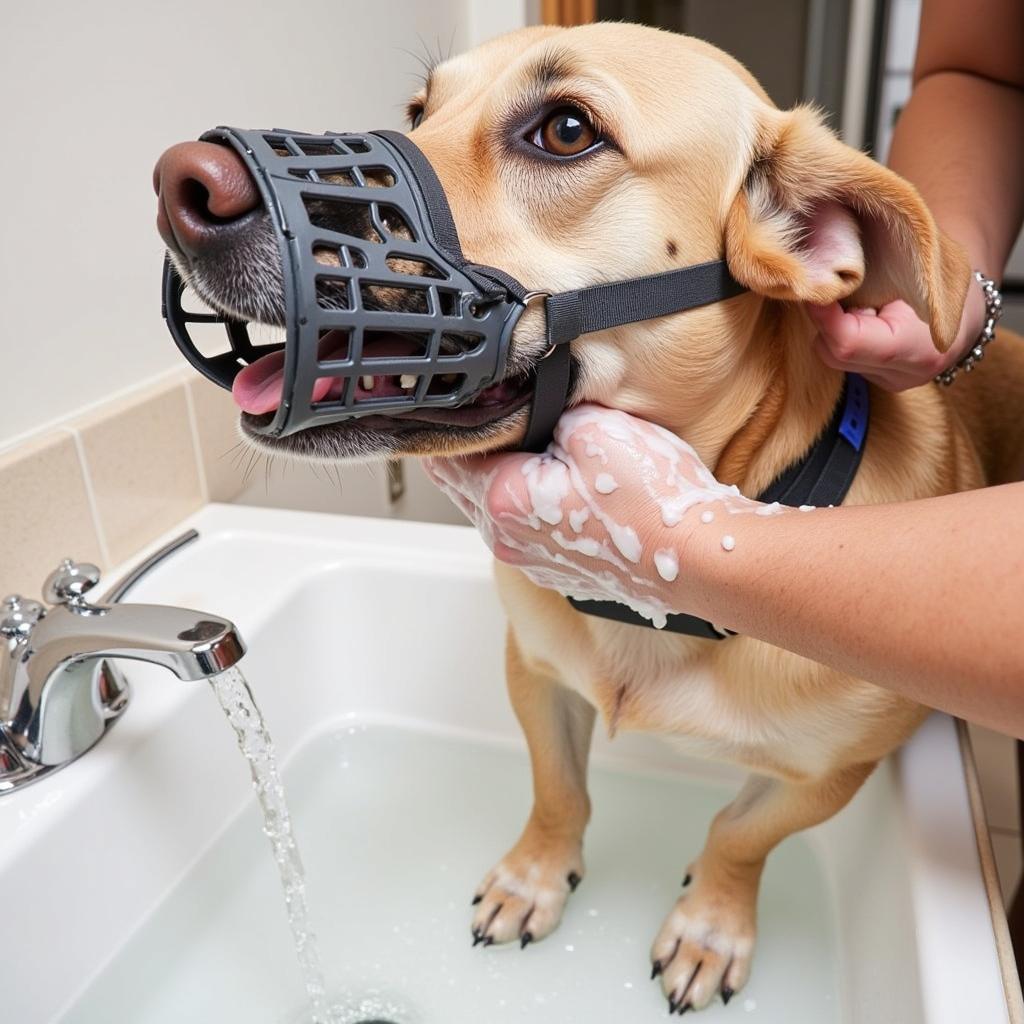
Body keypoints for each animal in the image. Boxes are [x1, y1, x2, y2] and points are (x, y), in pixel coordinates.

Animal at [153, 19, 1024, 1011]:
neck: (655, 612)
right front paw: (536, 877)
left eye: (566, 131)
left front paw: (710, 925)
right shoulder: (535, 674)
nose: (181, 184)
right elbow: (559, 791)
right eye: (418, 111)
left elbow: (738, 836)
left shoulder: (829, 774)